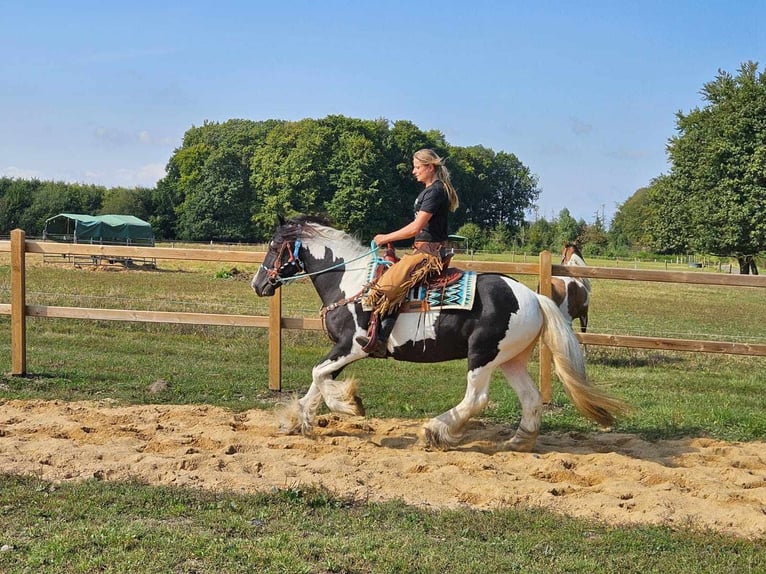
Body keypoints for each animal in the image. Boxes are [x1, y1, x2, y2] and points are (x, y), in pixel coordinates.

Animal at [252, 214, 624, 452]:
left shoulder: (353, 345)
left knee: (477, 398)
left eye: (272, 246)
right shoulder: (343, 351)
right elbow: (319, 380)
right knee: (530, 399)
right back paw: (517, 441)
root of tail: (533, 297)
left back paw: (435, 431)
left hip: (482, 356)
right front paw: (298, 420)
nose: (258, 285)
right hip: (510, 359)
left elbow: (318, 375)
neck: (350, 281)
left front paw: (350, 405)